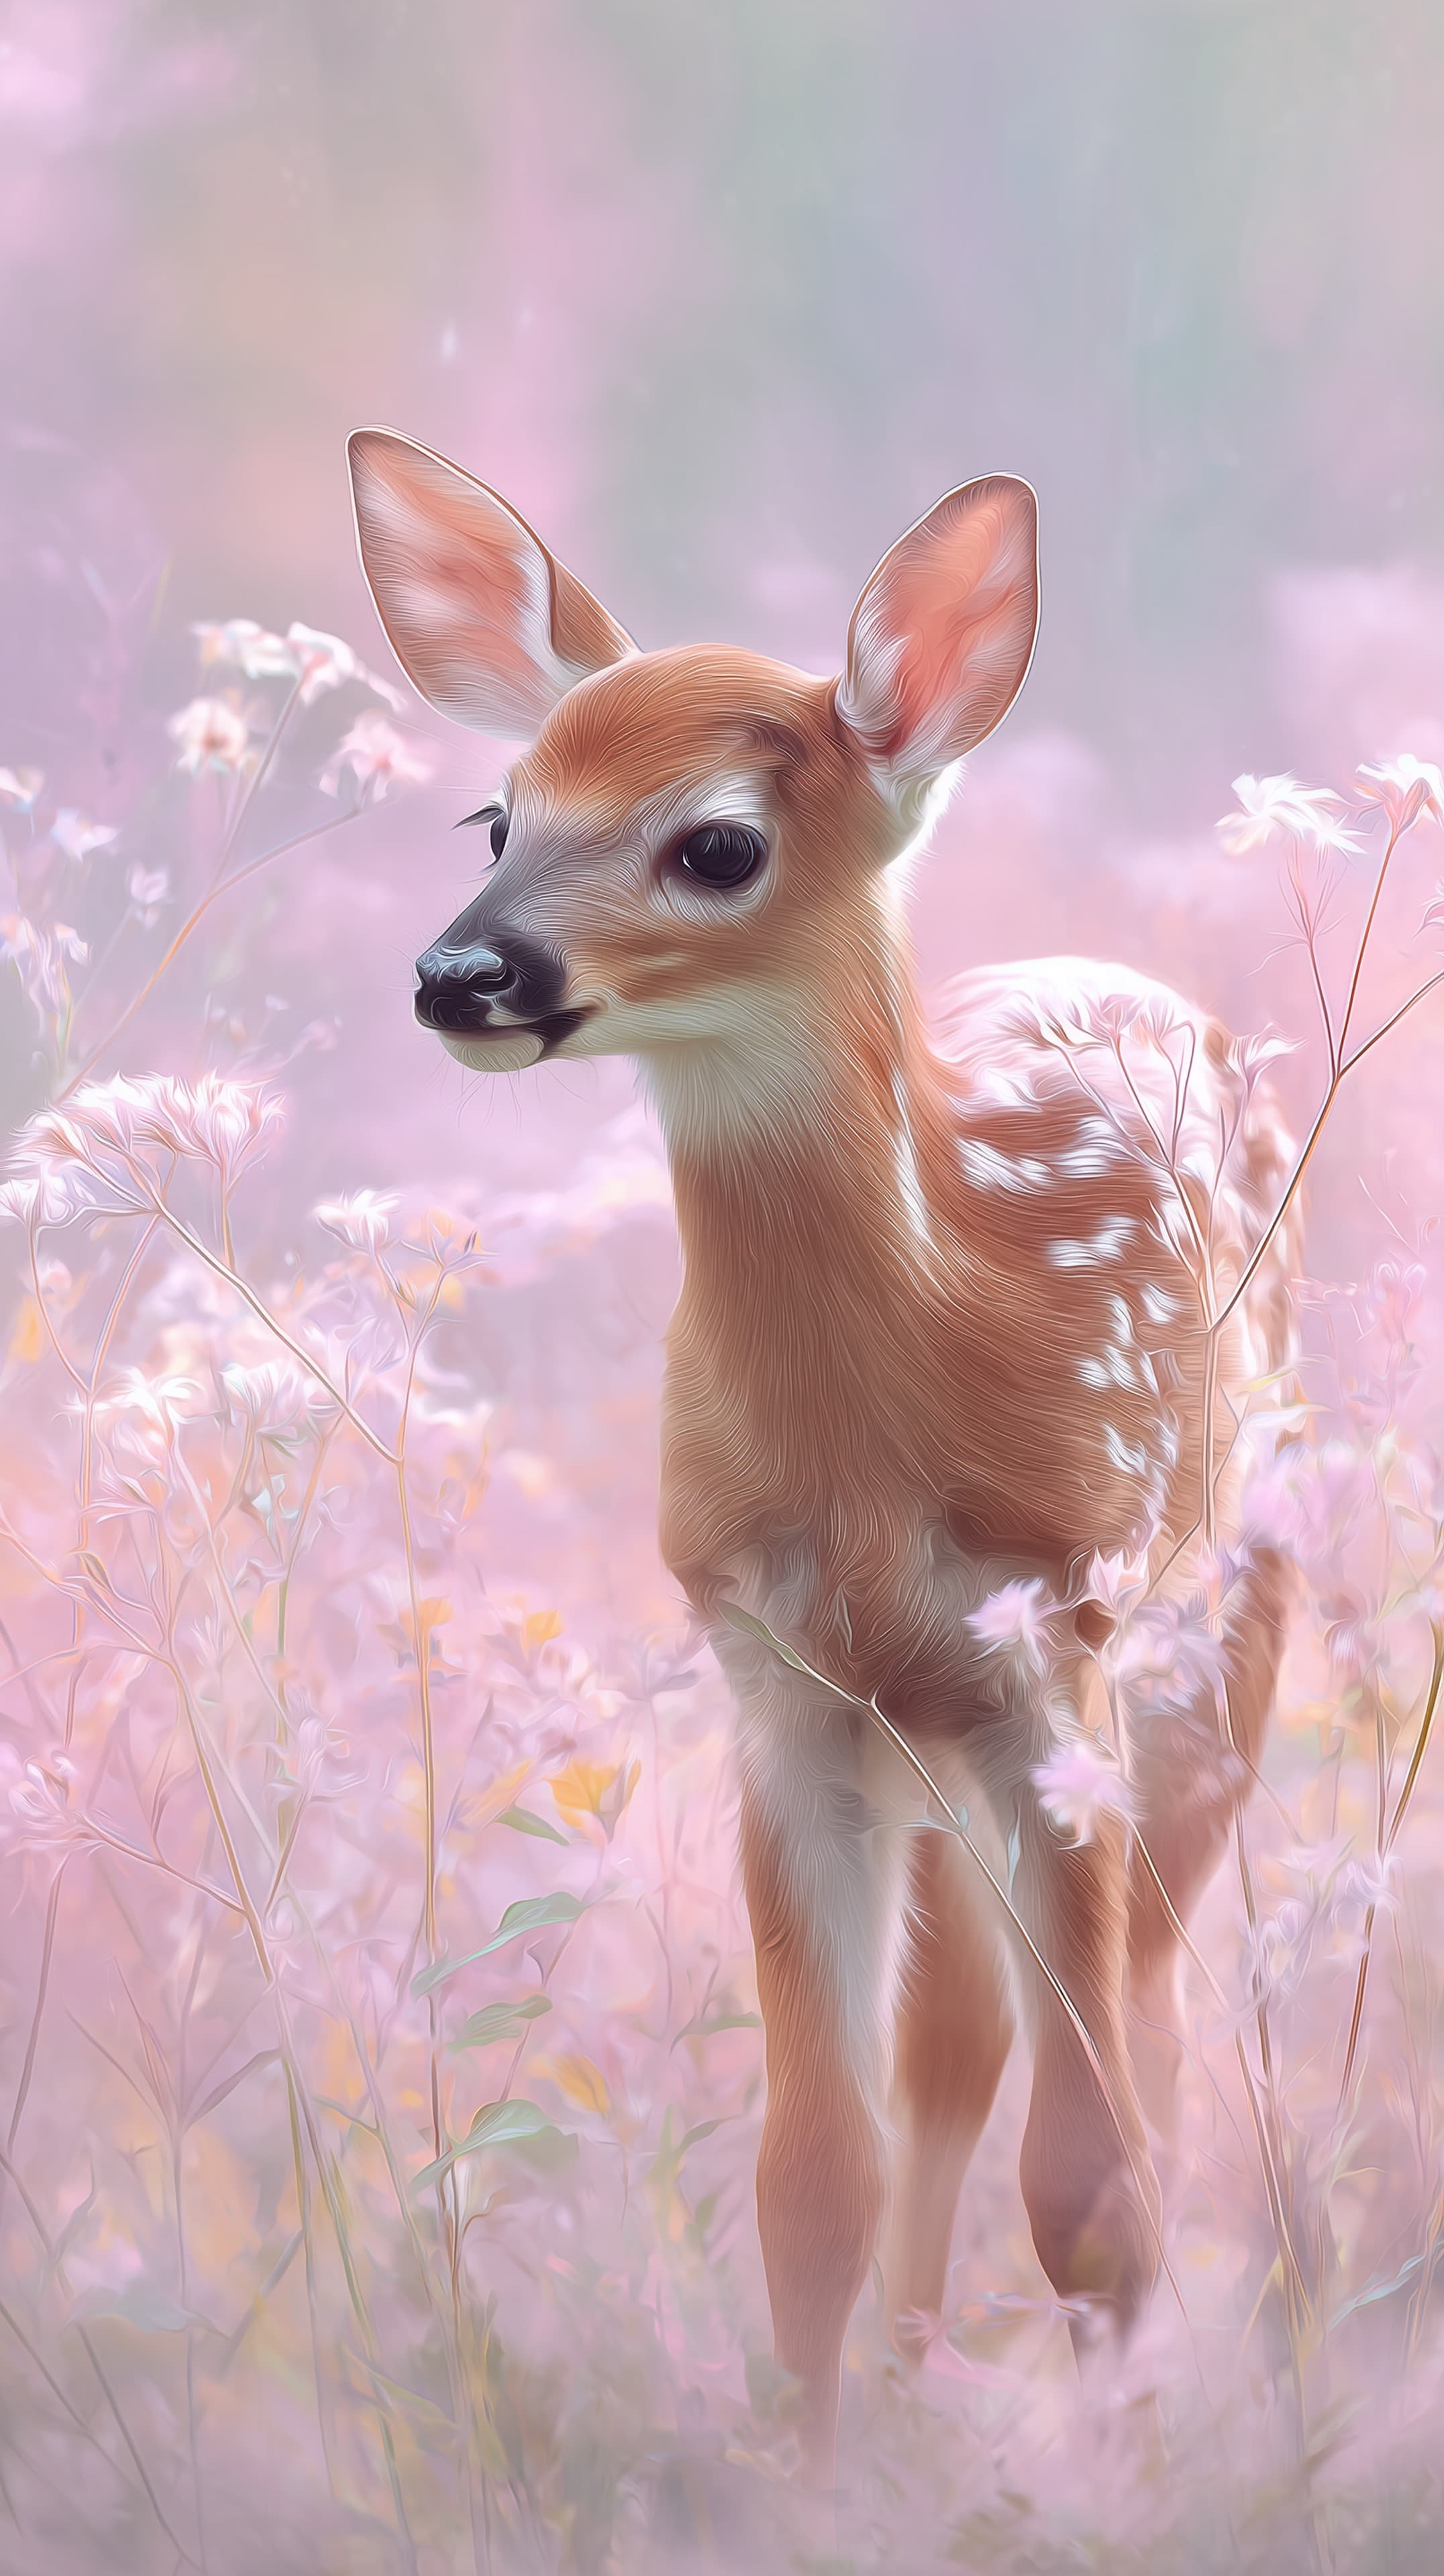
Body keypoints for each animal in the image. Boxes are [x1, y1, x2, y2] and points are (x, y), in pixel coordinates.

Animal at [347, 428, 1298, 2485]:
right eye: (494, 814)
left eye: (715, 840)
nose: (457, 975)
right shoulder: (776, 1685)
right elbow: (810, 2178)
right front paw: (811, 2473)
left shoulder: (1049, 1651)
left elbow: (1088, 2178)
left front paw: (1113, 2465)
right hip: (921, 1746)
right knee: (952, 2046)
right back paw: (929, 2368)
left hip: (1218, 1624)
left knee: (1148, 2021)